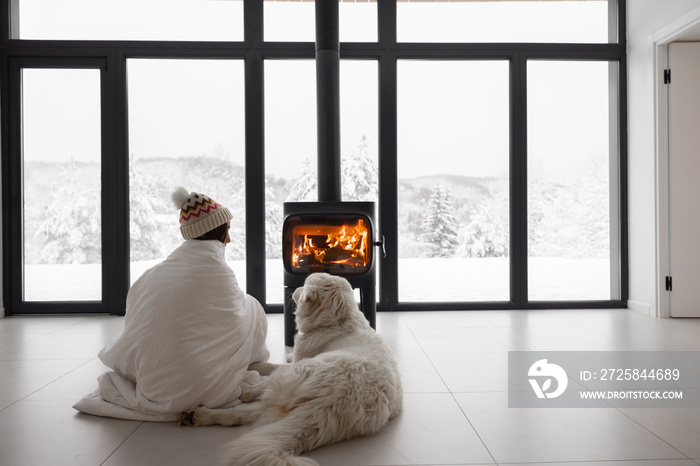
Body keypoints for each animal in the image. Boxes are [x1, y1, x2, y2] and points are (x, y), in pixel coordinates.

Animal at [178, 274, 402, 466]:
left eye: (304, 282)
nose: (294, 290)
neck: (338, 321)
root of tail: (340, 399)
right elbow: (285, 359)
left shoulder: (298, 360)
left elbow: (271, 366)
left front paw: (256, 366)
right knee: (241, 415)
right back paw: (198, 416)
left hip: (293, 377)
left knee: (252, 397)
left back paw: (239, 390)